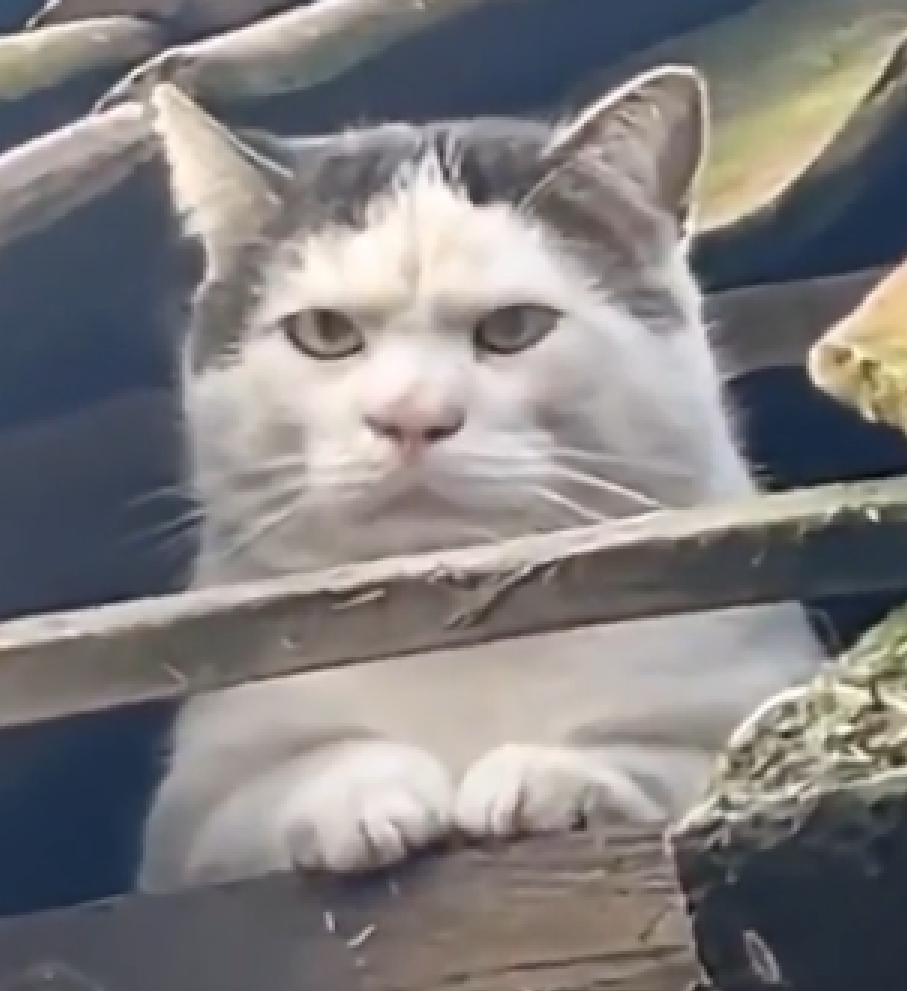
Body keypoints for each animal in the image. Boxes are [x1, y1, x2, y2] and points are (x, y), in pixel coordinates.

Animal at [137, 67, 826, 893]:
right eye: (326, 333)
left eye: (514, 328)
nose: (410, 416)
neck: (460, 630)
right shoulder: (185, 830)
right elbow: (271, 789)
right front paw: (363, 793)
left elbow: (682, 762)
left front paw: (553, 773)